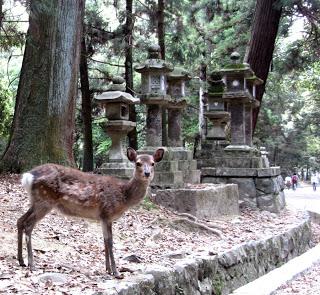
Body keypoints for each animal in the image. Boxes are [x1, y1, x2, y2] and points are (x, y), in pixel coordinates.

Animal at [16, 148, 165, 280]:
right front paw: (116, 272)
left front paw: (108, 269)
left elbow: (104, 241)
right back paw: (32, 264)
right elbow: (110, 242)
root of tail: (28, 177)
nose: (147, 173)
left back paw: (21, 260)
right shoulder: (107, 213)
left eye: (153, 163)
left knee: (20, 220)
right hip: (45, 200)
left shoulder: (102, 217)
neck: (124, 197)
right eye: (138, 163)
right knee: (28, 225)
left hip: (36, 201)